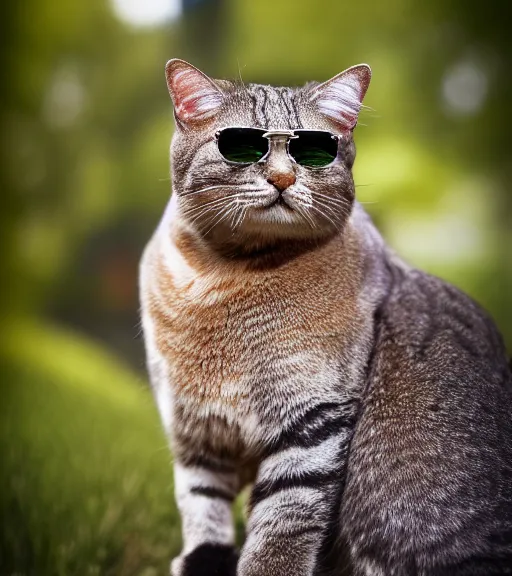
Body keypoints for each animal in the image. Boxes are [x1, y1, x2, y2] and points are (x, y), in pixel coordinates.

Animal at [139, 59, 512, 576]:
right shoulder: (197, 436)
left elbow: (278, 536)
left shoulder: (314, 423)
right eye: (243, 146)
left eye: (315, 149)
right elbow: (202, 509)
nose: (281, 177)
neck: (222, 275)